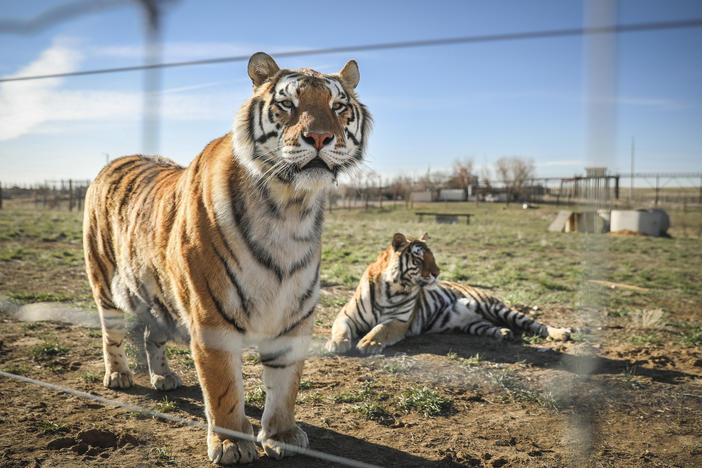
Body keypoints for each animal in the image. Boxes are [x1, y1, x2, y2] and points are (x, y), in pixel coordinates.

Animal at [84, 52, 374, 464]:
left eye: (338, 107)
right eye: (288, 104)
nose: (319, 137)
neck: (290, 207)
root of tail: (115, 160)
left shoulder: (295, 316)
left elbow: (285, 386)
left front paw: (282, 435)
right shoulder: (212, 316)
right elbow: (223, 389)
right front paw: (232, 443)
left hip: (158, 292)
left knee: (153, 335)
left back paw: (163, 378)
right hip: (104, 280)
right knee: (112, 332)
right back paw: (119, 376)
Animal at [324, 234, 572, 354]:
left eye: (433, 257)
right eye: (419, 258)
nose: (437, 273)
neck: (391, 288)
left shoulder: (399, 321)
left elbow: (380, 329)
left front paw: (368, 343)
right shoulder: (346, 316)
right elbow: (340, 329)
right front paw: (335, 344)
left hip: (495, 307)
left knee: (534, 323)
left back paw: (561, 333)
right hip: (473, 323)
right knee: (489, 326)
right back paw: (504, 333)